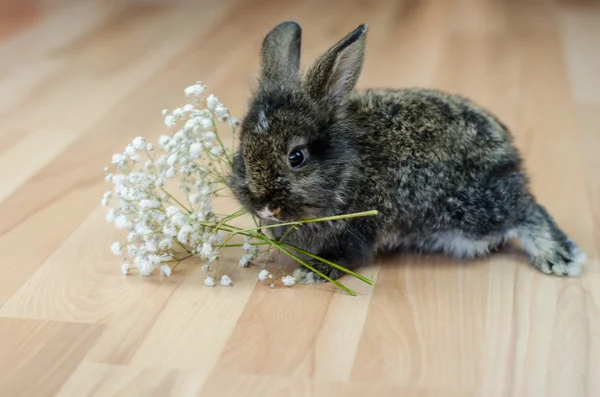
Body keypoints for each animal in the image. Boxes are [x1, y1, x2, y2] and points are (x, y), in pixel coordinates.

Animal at [227, 21, 584, 282]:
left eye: (296, 157)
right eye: (242, 153)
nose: (266, 206)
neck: (346, 170)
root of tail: (509, 155)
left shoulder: (359, 230)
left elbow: (348, 256)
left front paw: (312, 273)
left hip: (470, 212)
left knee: (526, 210)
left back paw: (559, 257)